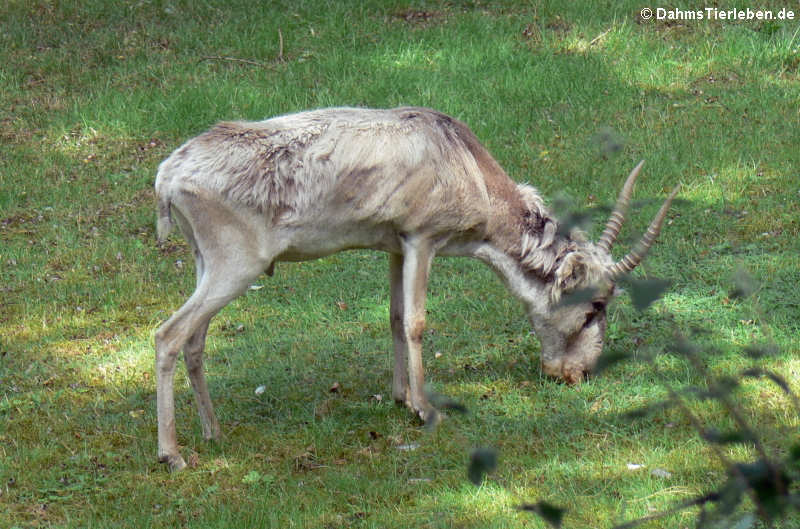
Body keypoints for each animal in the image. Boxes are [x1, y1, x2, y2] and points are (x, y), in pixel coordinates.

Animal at [155, 105, 676, 468]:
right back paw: (172, 453)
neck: (469, 168)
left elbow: (393, 316)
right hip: (235, 265)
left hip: (206, 264)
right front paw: (424, 409)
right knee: (168, 335)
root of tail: (167, 176)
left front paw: (400, 395)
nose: (578, 374)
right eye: (595, 306)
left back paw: (214, 432)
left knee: (195, 341)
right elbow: (417, 322)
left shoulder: (394, 245)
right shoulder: (423, 238)